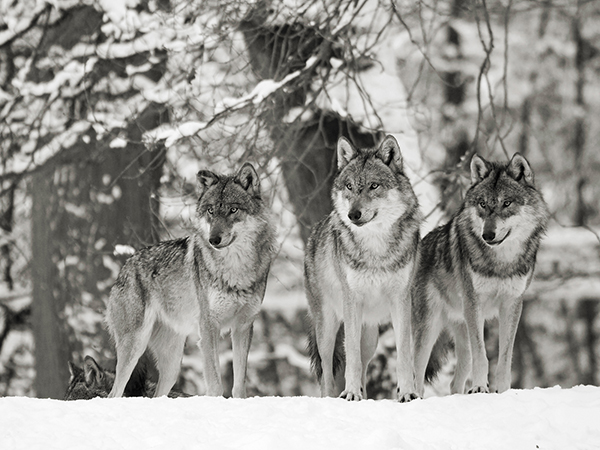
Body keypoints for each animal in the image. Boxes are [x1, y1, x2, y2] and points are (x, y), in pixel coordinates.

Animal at [105, 163, 276, 400]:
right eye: (211, 211)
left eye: (233, 210)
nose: (214, 240)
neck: (235, 269)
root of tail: (125, 266)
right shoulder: (208, 327)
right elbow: (215, 384)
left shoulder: (243, 327)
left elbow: (239, 384)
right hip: (134, 346)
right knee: (114, 393)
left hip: (173, 365)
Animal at [304, 135, 422, 402]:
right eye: (349, 186)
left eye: (373, 186)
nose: (353, 214)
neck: (375, 248)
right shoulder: (352, 301)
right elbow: (351, 359)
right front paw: (349, 393)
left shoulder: (402, 300)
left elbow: (403, 355)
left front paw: (407, 393)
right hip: (327, 329)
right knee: (328, 370)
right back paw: (332, 397)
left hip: (370, 336)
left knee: (364, 363)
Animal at [412, 153, 548, 396]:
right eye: (483, 204)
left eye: (506, 203)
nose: (488, 235)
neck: (501, 262)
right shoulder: (474, 303)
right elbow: (482, 355)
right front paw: (479, 388)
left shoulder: (512, 304)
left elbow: (504, 358)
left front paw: (503, 391)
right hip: (428, 328)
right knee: (416, 373)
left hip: (461, 332)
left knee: (454, 381)